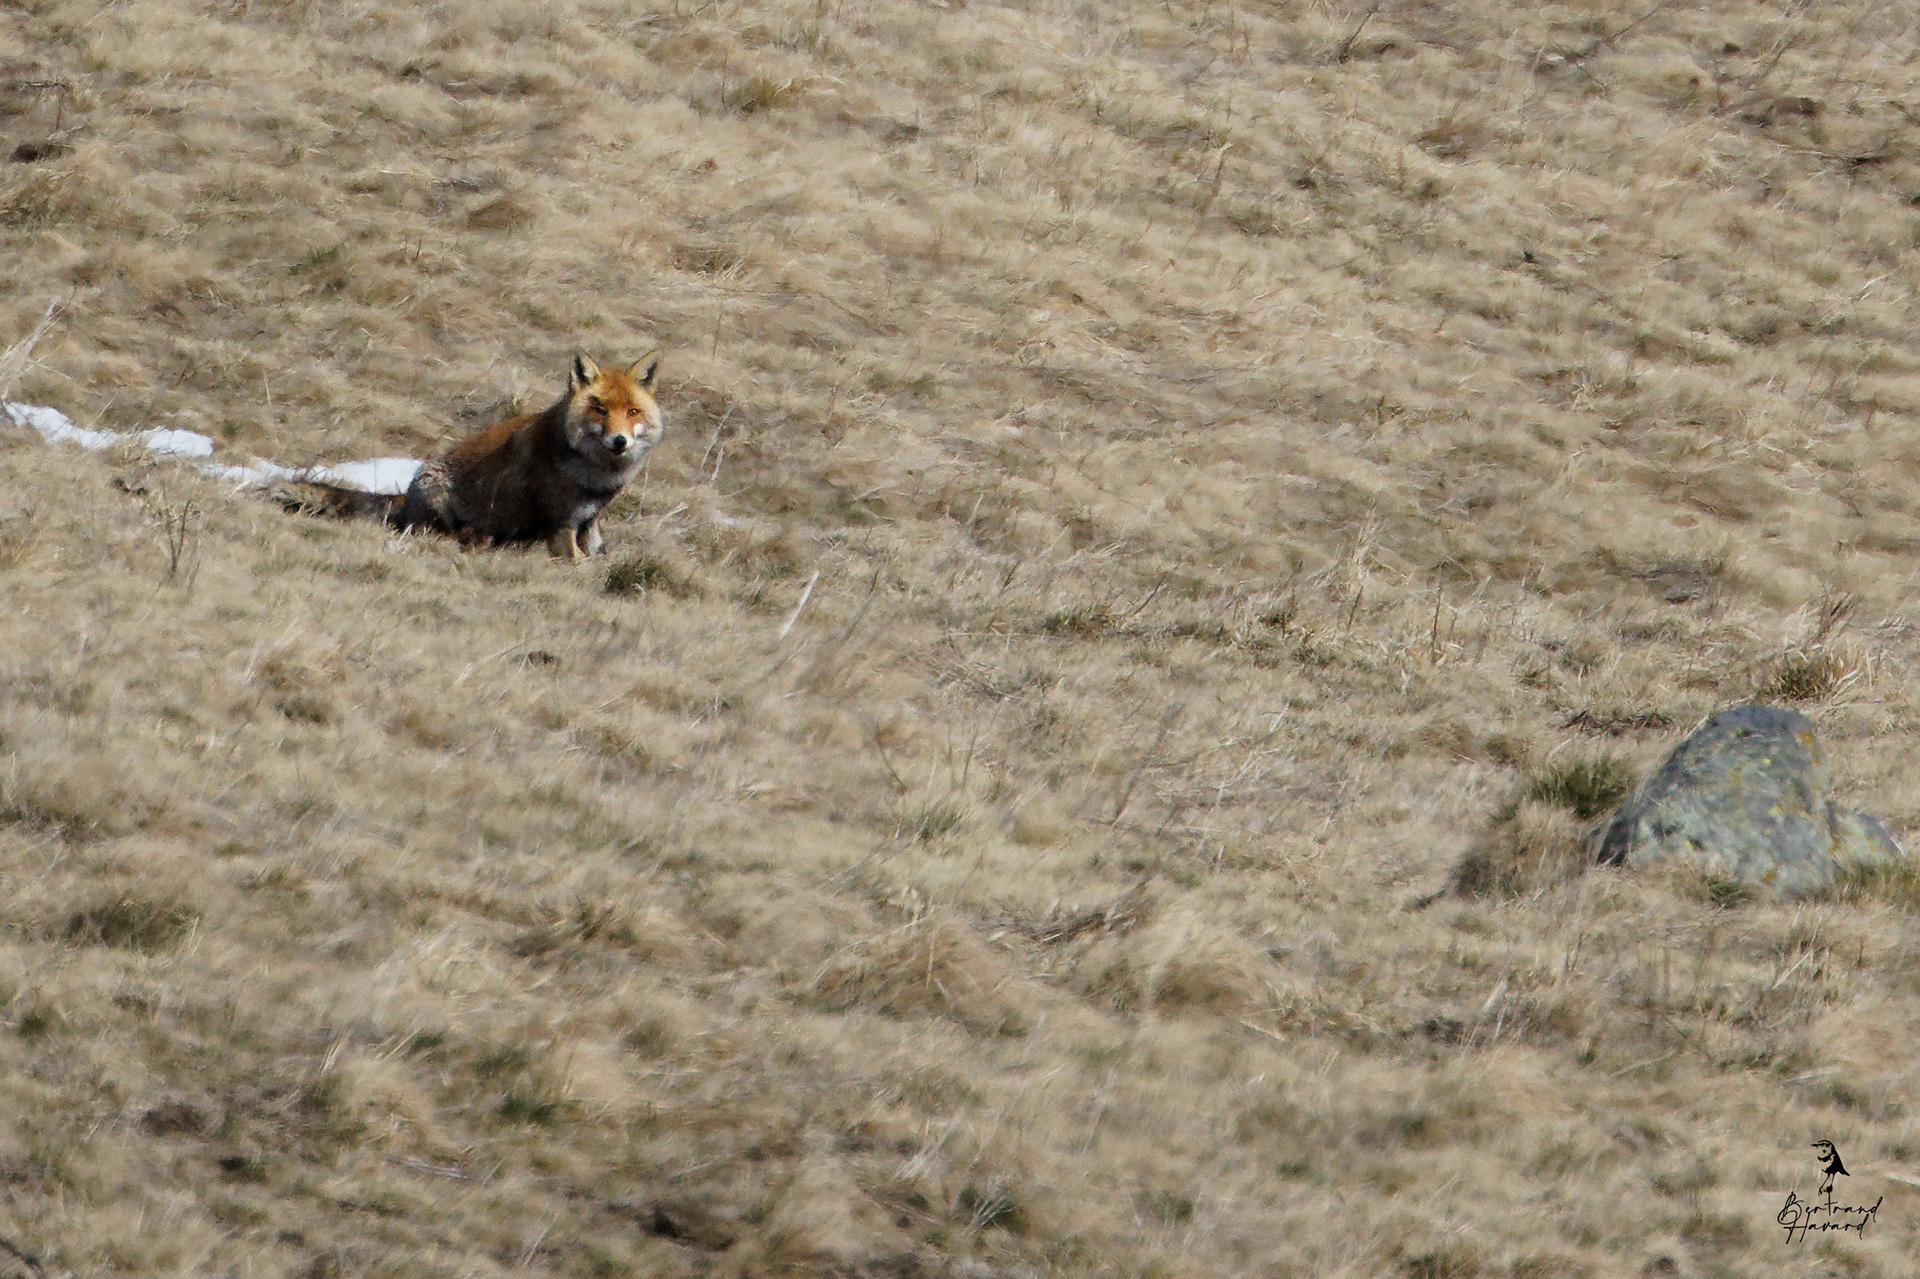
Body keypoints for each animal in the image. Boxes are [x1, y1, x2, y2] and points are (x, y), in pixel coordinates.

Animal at [397, 351, 664, 561]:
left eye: (633, 412)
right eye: (600, 410)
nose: (620, 440)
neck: (594, 476)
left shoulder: (591, 518)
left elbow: (595, 551)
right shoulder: (560, 521)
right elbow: (576, 560)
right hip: (436, 495)